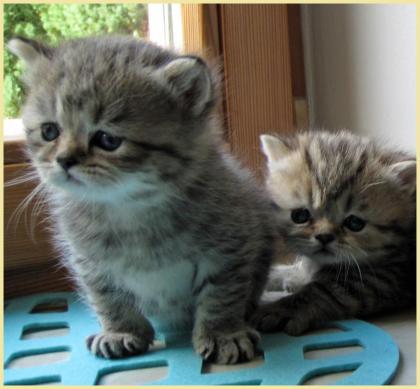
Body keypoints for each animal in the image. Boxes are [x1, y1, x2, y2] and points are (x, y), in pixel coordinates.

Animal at [8, 34, 276, 362]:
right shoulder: (89, 262)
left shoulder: (231, 246)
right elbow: (108, 298)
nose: (64, 160)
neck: (129, 207)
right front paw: (121, 332)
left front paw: (223, 333)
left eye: (108, 139)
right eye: (49, 131)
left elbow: (221, 295)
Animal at [251, 130, 416, 334]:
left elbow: (326, 290)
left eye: (355, 223)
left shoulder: (387, 277)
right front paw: (283, 275)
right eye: (300, 215)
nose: (324, 236)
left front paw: (284, 308)